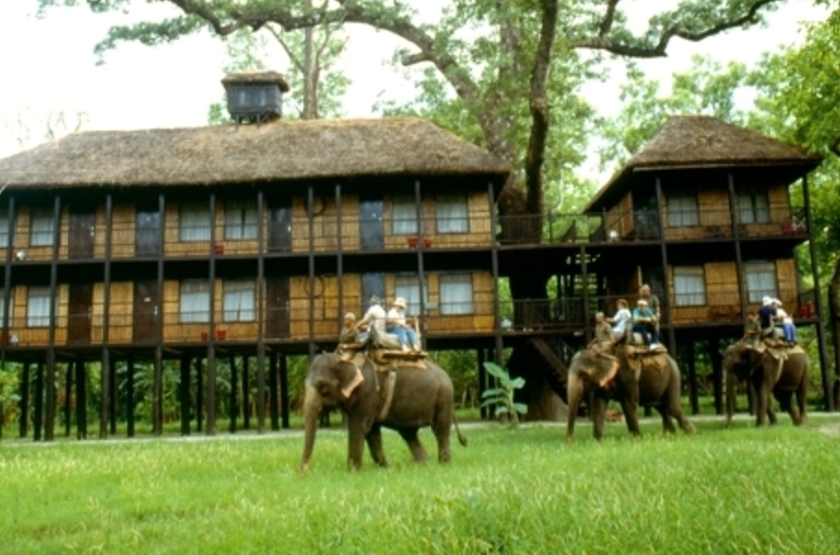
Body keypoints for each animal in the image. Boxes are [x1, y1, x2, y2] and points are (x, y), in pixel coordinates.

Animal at [298, 354, 466, 472]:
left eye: (322, 387)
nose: (302, 473)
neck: (344, 358)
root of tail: (446, 374)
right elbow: (372, 432)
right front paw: (387, 468)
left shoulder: (368, 393)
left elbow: (359, 427)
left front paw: (352, 471)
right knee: (409, 433)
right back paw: (422, 464)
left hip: (444, 398)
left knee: (440, 431)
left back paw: (443, 464)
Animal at [564, 348, 696, 444]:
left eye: (583, 376)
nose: (569, 442)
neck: (601, 351)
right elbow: (598, 407)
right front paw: (597, 442)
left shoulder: (628, 377)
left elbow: (628, 405)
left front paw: (638, 440)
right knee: (662, 408)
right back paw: (671, 436)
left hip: (673, 375)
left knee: (671, 407)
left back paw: (692, 434)